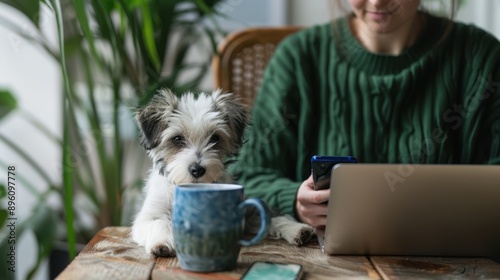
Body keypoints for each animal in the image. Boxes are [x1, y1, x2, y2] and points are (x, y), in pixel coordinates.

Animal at [133, 88, 312, 258]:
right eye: (177, 139)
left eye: (215, 138)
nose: (197, 169)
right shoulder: (147, 216)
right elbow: (159, 222)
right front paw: (162, 243)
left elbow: (269, 217)